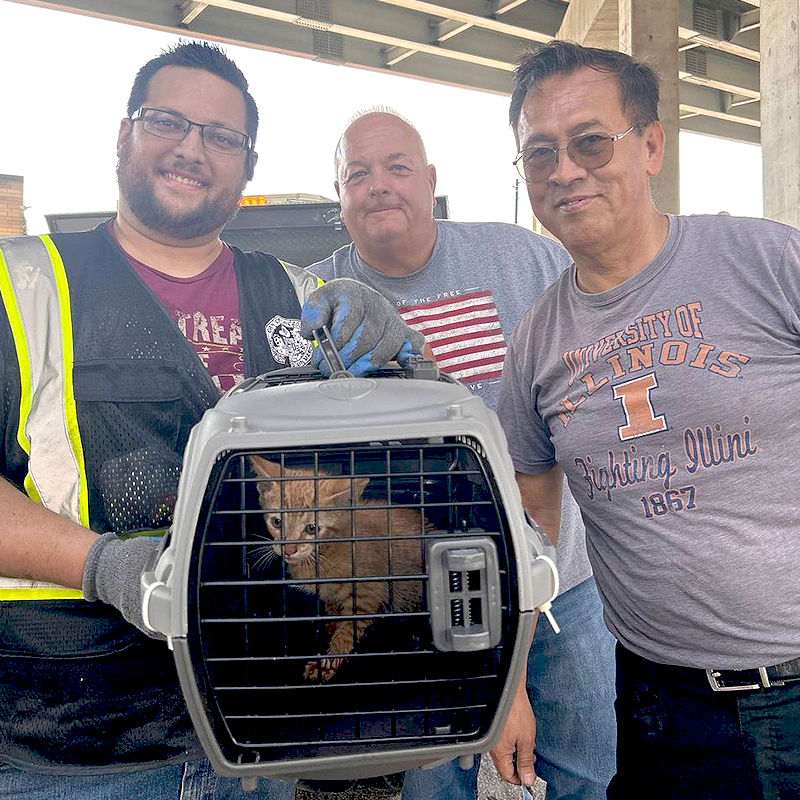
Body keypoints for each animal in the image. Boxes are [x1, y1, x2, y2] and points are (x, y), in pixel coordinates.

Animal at [252, 456, 428, 680]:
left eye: (312, 528)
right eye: (277, 522)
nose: (289, 550)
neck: (322, 555)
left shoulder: (366, 597)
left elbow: (346, 634)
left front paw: (326, 664)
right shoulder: (329, 594)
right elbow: (333, 612)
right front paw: (330, 626)